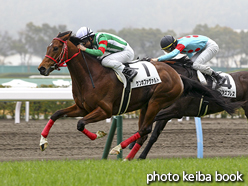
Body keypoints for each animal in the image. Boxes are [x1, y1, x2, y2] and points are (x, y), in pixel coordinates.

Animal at [38, 31, 238, 157]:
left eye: (55, 48)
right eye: (47, 47)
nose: (41, 68)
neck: (91, 75)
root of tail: (177, 75)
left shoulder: (105, 110)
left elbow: (80, 124)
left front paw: (99, 134)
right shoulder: (82, 107)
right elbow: (56, 114)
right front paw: (42, 142)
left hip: (157, 102)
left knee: (145, 130)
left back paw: (118, 148)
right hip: (145, 105)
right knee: (143, 131)